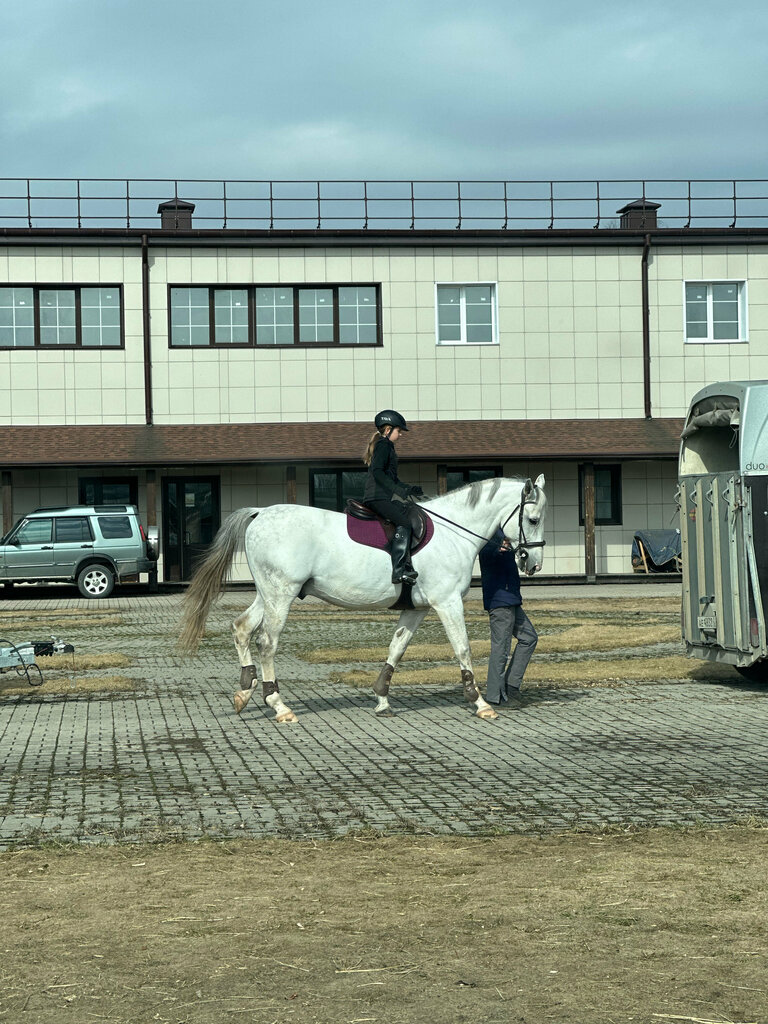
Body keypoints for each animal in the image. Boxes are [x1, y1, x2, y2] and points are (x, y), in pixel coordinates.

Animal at [180, 475, 548, 724]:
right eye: (533, 519)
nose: (533, 563)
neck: (453, 533)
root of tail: (260, 513)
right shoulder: (447, 604)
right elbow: (463, 648)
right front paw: (480, 703)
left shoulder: (417, 609)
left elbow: (397, 647)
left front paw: (382, 699)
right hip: (281, 595)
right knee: (267, 642)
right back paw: (279, 706)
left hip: (268, 595)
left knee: (241, 628)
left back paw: (244, 692)